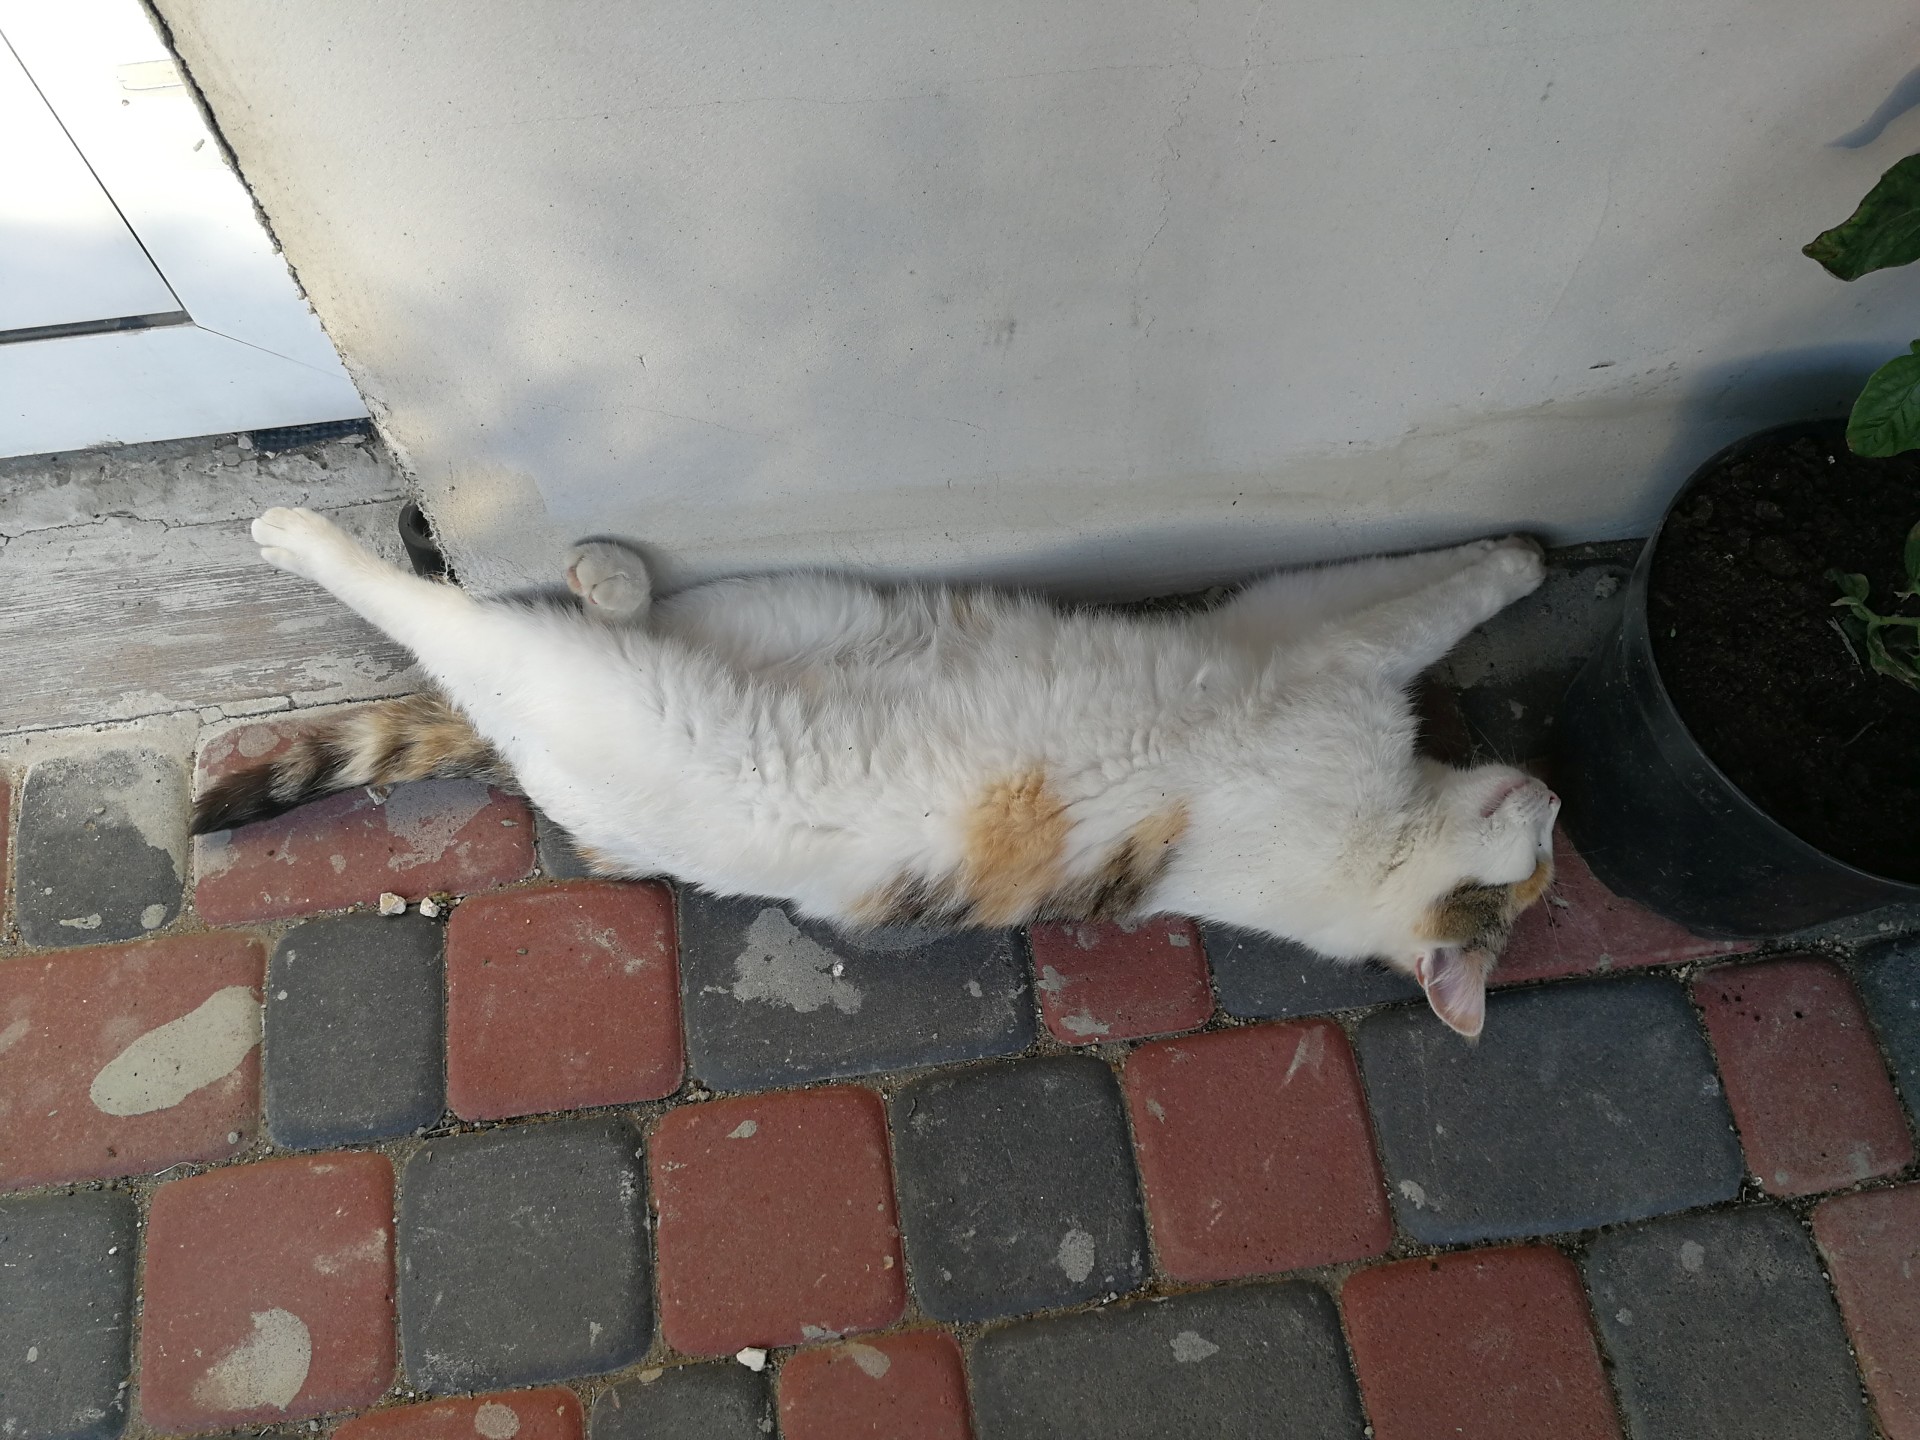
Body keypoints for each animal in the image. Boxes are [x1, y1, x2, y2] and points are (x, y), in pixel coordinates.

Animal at [195, 508, 1559, 1038]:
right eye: (1538, 877)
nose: (1556, 800)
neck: (1383, 839)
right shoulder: (1303, 638)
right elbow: (1421, 594)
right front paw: (1521, 558)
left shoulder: (1298, 649)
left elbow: (1409, 602)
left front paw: (1513, 559)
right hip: (769, 607)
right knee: (458, 608)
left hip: (606, 675)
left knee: (465, 627)